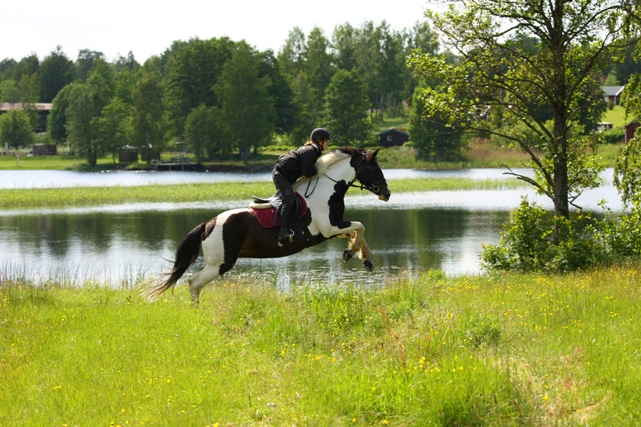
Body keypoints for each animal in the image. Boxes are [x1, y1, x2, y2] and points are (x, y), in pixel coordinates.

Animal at [142, 147, 391, 303]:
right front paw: (353, 253)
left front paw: (364, 258)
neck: (327, 189)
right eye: (374, 169)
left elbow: (357, 232)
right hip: (220, 263)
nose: (387, 193)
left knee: (194, 283)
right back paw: (197, 313)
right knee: (193, 282)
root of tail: (207, 225)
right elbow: (360, 226)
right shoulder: (329, 227)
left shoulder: (329, 231)